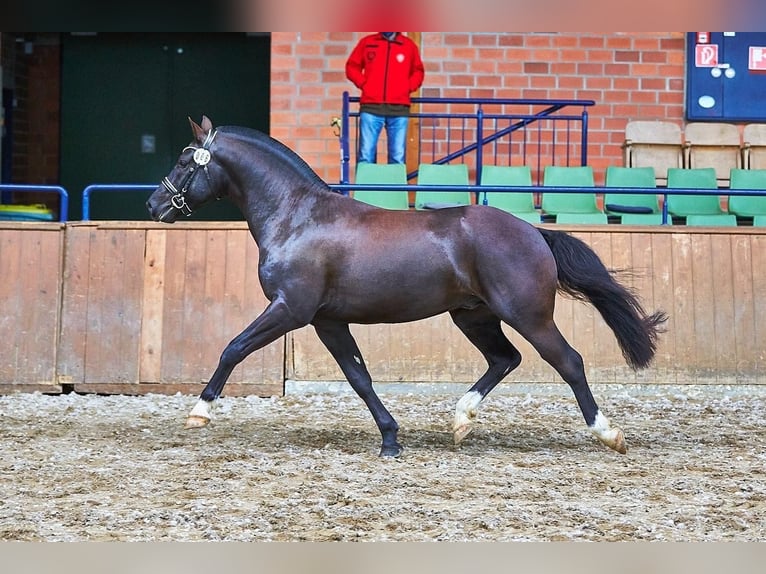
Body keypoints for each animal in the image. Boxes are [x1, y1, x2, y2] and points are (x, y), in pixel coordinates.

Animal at [147, 117, 668, 460]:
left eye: (184, 161)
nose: (154, 205)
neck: (297, 218)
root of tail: (534, 231)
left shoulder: (291, 310)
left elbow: (233, 348)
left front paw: (199, 411)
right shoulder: (327, 321)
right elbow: (359, 378)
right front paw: (390, 439)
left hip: (528, 316)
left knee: (568, 362)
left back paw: (608, 434)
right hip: (473, 315)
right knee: (505, 359)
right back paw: (460, 421)